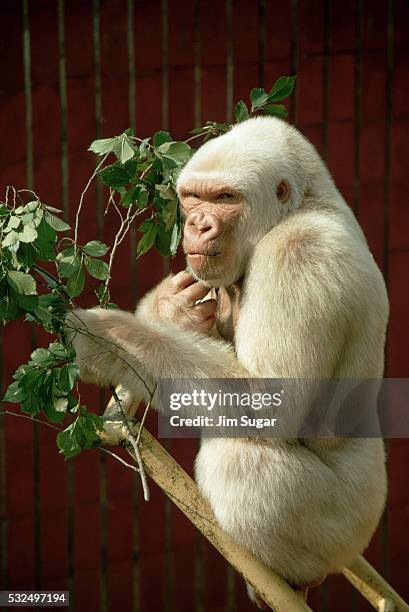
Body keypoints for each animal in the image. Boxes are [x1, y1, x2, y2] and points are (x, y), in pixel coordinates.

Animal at [65, 117, 388, 604]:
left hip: (347, 525)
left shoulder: (300, 253)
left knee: (238, 461)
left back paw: (293, 576)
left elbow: (270, 403)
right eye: (193, 197)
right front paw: (169, 311)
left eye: (225, 198)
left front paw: (111, 339)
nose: (198, 225)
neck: (301, 204)